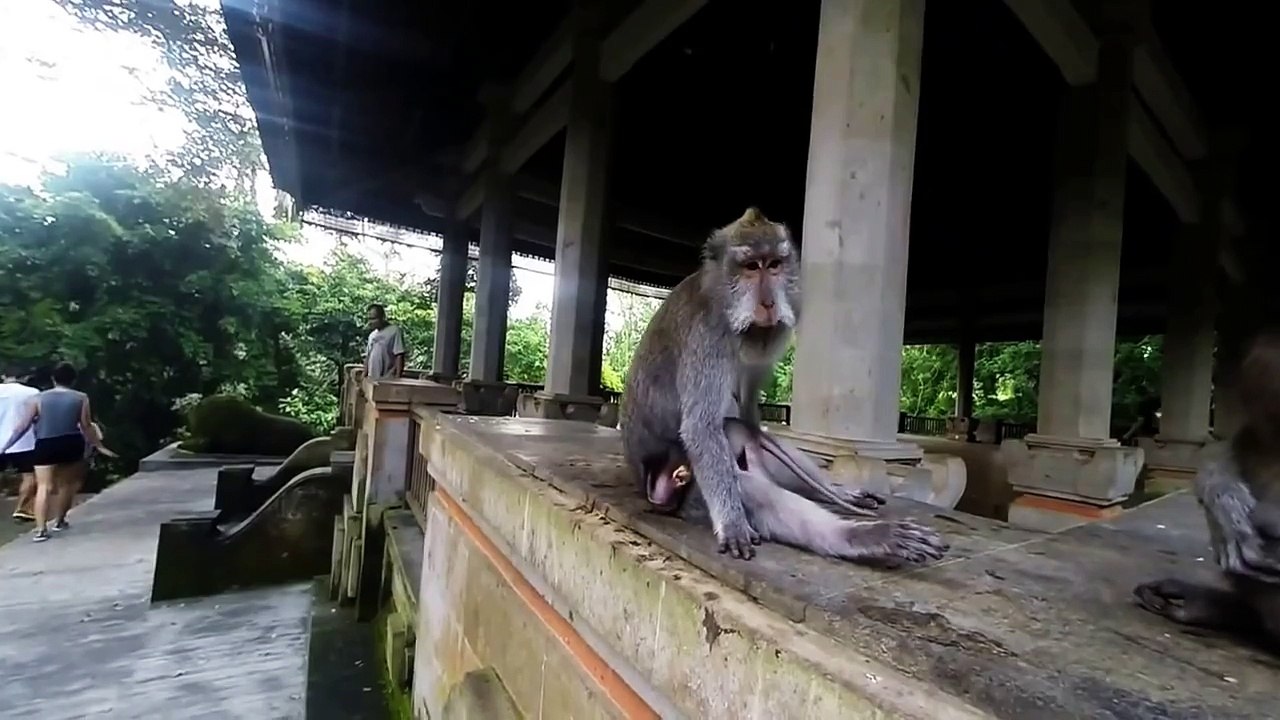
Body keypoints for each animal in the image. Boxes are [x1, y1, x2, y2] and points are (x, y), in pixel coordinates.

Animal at [621, 207, 948, 564]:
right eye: (751, 267)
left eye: (774, 265)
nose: (768, 305)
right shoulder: (707, 338)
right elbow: (701, 428)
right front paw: (733, 524)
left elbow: (751, 412)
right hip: (679, 484)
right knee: (746, 482)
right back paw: (859, 536)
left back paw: (837, 495)